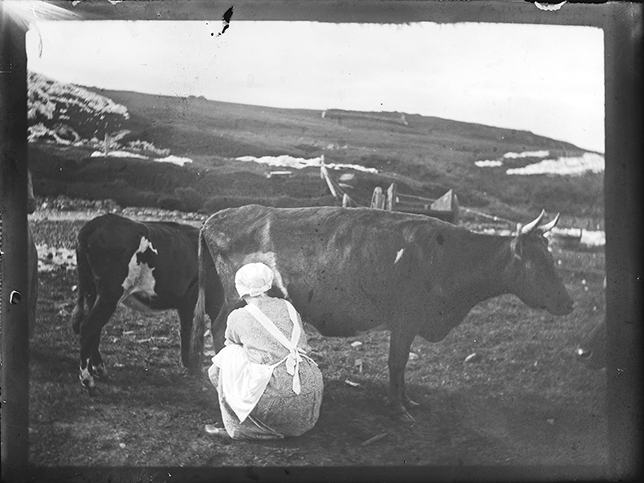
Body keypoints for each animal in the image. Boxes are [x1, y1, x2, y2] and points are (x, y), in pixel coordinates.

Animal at [71, 213, 223, 389]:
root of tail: (96, 222)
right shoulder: (192, 300)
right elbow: (193, 331)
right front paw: (192, 367)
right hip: (111, 292)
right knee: (88, 325)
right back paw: (87, 378)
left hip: (91, 290)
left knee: (92, 328)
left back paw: (100, 370)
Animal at [189, 204, 573, 422]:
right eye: (539, 262)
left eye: (553, 258)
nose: (569, 303)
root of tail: (216, 217)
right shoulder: (405, 318)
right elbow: (396, 363)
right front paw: (398, 408)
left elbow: (399, 365)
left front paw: (407, 401)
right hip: (234, 297)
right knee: (219, 326)